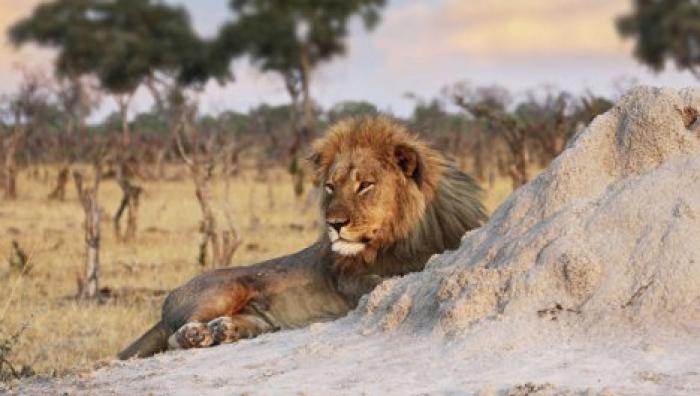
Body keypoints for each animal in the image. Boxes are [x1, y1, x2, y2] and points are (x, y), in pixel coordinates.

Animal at [117, 116, 484, 360]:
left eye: (364, 185)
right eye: (331, 186)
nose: (334, 224)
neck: (402, 237)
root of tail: (170, 298)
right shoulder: (347, 280)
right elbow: (384, 283)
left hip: (258, 317)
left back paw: (225, 330)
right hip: (223, 289)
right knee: (172, 339)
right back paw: (198, 334)